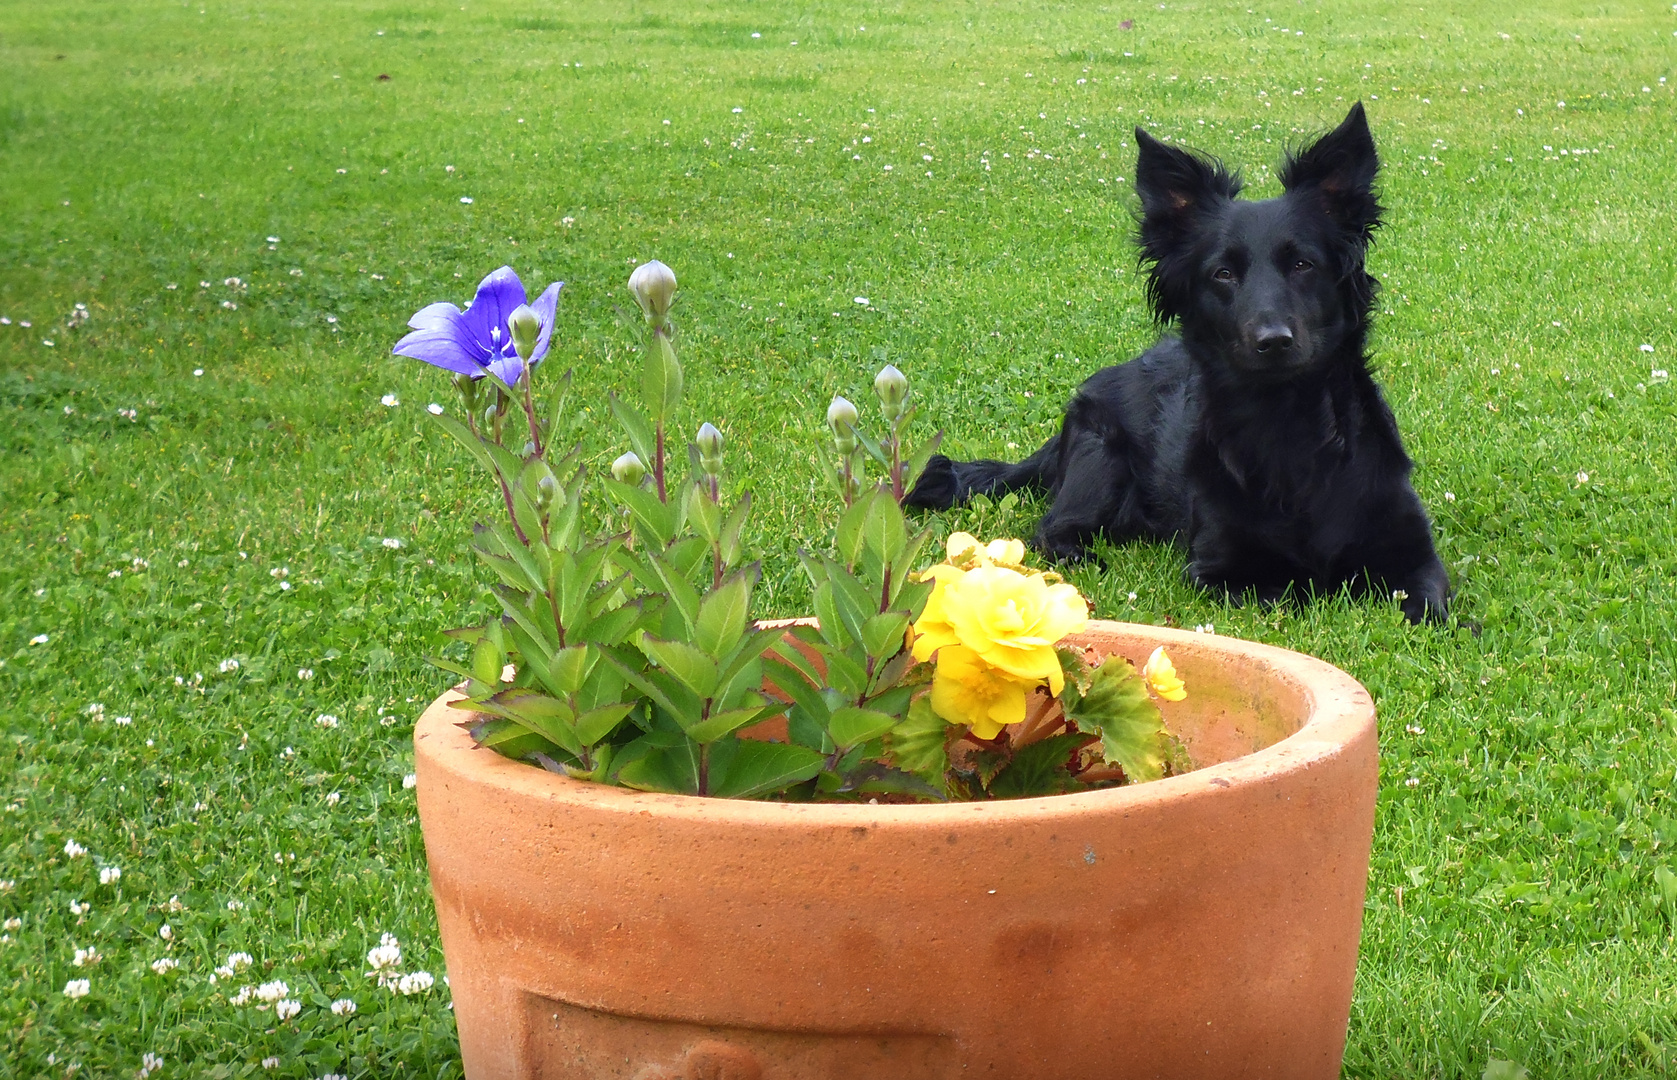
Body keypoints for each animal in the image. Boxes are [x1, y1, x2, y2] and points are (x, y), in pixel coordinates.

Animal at [912, 103, 1448, 623]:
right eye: (1223, 274)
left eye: (1303, 265)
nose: (1273, 341)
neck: (1287, 424)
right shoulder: (1220, 571)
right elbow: (1293, 593)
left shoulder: (1417, 558)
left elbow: (1427, 607)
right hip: (1099, 457)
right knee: (1052, 528)